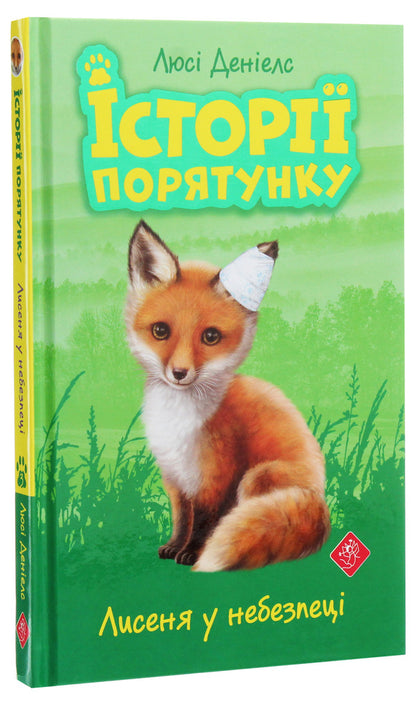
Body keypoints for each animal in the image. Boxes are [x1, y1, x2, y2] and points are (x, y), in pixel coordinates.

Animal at [126, 220, 330, 571]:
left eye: (210, 336)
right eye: (160, 331)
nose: (179, 373)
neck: (178, 421)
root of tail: (321, 505)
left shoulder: (216, 477)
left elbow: (205, 522)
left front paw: (193, 553)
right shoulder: (175, 476)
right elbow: (182, 518)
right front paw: (174, 546)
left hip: (257, 477)